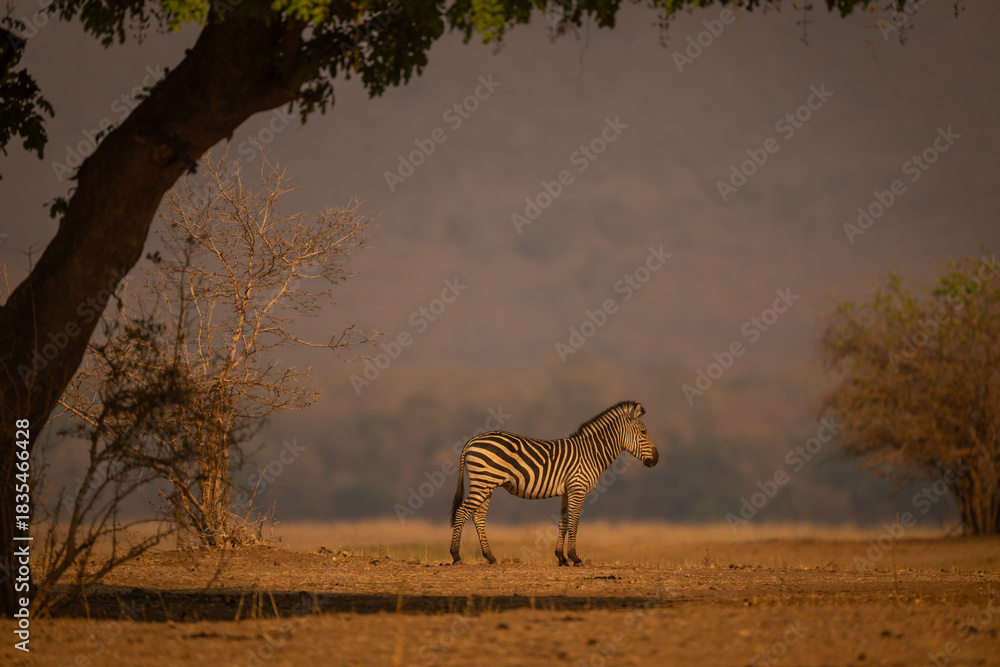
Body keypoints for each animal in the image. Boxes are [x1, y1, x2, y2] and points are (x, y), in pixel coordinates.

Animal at [449, 400, 658, 567]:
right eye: (643, 432)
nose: (656, 460)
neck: (590, 453)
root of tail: (473, 439)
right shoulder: (577, 488)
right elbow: (574, 521)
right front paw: (575, 558)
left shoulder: (567, 491)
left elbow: (563, 521)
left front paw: (561, 558)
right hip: (484, 482)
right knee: (462, 512)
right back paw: (456, 556)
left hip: (486, 484)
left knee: (478, 516)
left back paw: (490, 557)